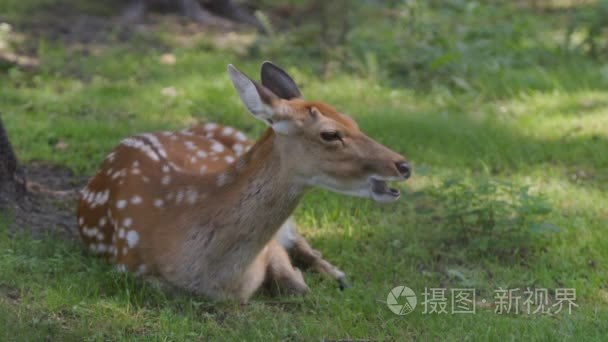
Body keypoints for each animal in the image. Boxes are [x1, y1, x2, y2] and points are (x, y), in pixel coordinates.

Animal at [75, 61, 408, 302]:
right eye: (330, 134)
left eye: (353, 121)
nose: (403, 164)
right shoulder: (131, 270)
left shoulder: (271, 246)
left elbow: (297, 287)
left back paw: (336, 274)